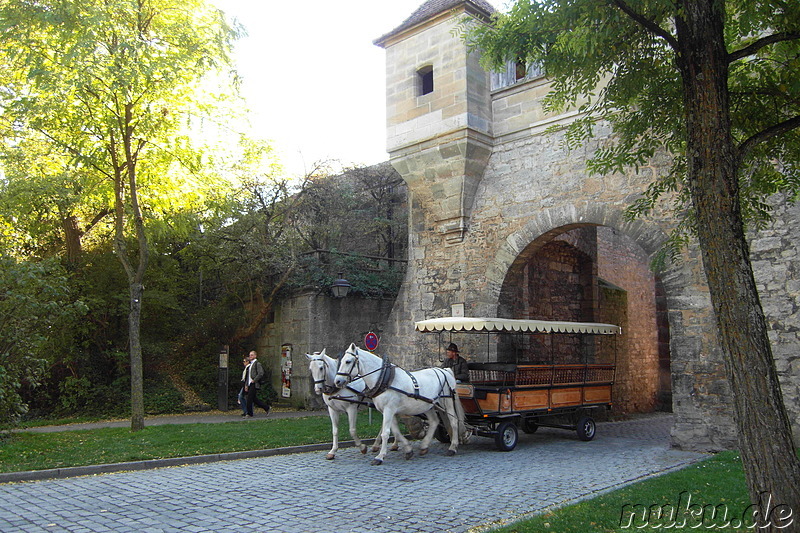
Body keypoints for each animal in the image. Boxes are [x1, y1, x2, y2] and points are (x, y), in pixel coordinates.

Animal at [332, 342, 468, 464]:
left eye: (348, 361)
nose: (337, 381)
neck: (384, 379)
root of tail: (444, 370)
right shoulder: (387, 411)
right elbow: (396, 431)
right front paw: (407, 449)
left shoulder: (389, 409)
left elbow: (386, 433)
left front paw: (380, 456)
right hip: (428, 405)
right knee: (434, 421)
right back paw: (424, 446)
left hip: (447, 401)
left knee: (454, 421)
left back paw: (453, 447)